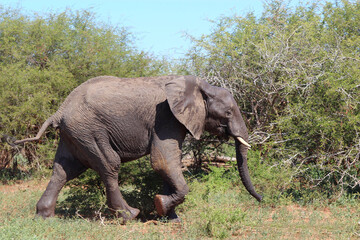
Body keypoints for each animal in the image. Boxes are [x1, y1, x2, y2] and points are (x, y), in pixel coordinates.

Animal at [14, 75, 262, 223]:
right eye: (228, 113)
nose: (261, 199)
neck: (200, 86)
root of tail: (59, 111)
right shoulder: (166, 118)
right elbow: (163, 161)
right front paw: (161, 206)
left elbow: (168, 164)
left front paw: (170, 217)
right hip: (88, 130)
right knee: (109, 165)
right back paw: (129, 215)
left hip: (74, 134)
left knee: (64, 170)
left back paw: (44, 217)